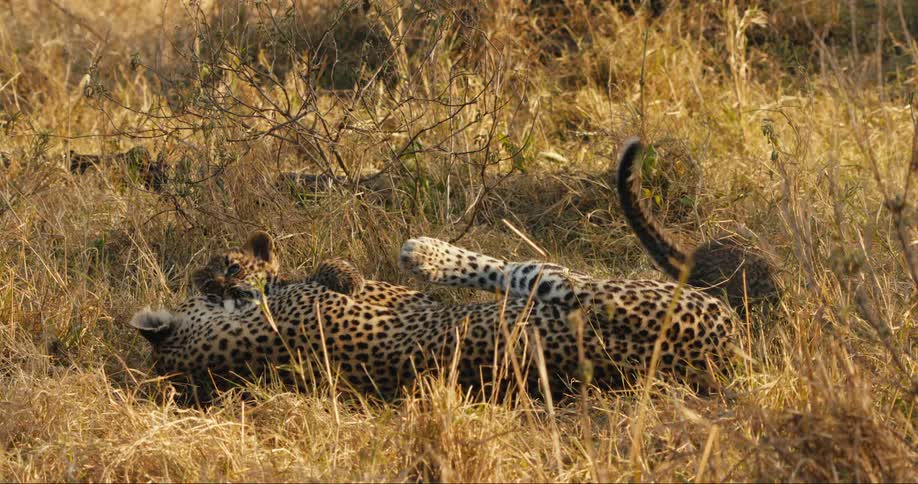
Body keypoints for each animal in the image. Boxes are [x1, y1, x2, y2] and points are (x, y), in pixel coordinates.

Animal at [129, 229, 738, 402]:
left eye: (227, 262)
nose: (233, 270)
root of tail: (720, 350)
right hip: (590, 289)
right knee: (521, 269)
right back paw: (427, 253)